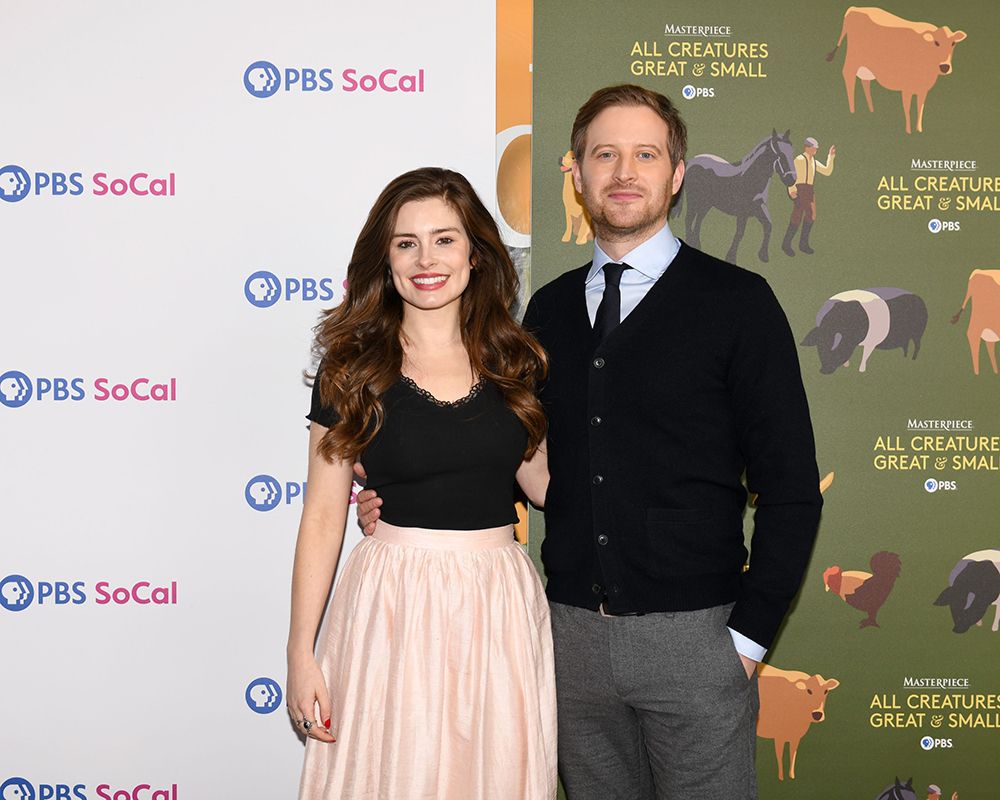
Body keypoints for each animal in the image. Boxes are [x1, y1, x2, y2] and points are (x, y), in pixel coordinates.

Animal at [672, 130, 796, 264]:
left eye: (792, 152)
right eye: (780, 154)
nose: (792, 179)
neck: (751, 179)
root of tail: (692, 161)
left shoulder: (759, 208)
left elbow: (768, 225)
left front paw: (763, 255)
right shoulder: (742, 214)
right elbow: (739, 234)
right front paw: (731, 257)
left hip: (706, 204)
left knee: (699, 220)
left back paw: (696, 243)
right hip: (693, 200)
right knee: (689, 219)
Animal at [824, 6, 964, 134]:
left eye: (953, 43)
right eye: (936, 42)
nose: (945, 67)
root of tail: (854, 8)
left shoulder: (923, 90)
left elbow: (920, 108)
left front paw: (919, 130)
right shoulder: (906, 88)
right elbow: (907, 108)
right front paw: (908, 131)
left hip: (867, 68)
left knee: (865, 82)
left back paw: (871, 110)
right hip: (852, 61)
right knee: (849, 77)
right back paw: (853, 111)